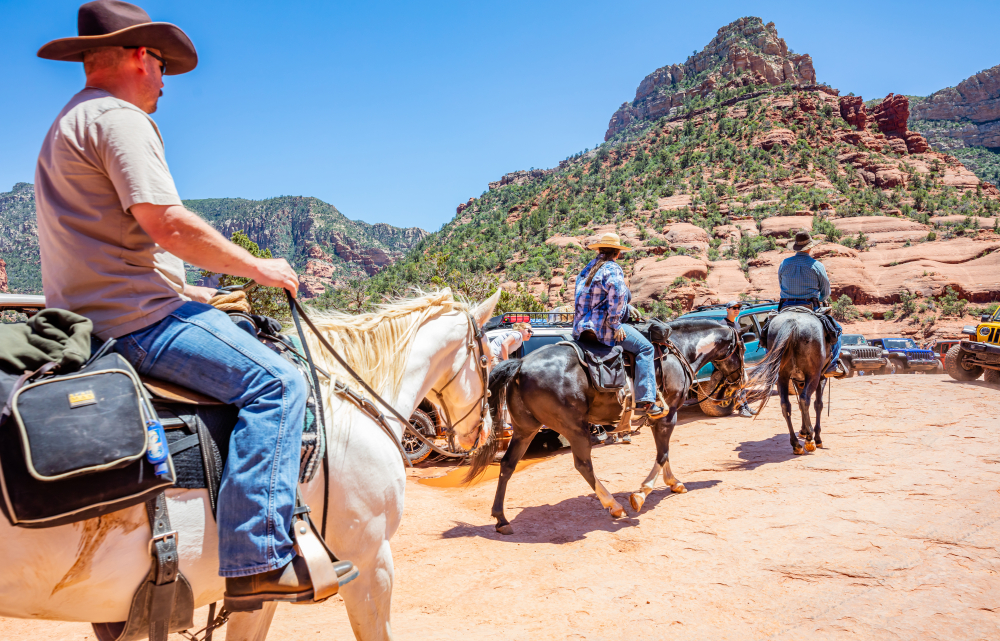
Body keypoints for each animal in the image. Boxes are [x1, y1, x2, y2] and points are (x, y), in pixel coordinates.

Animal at [468, 318, 744, 532]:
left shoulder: (661, 418)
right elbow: (663, 454)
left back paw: (501, 519)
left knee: (507, 465)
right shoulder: (668, 414)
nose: (740, 382)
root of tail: (521, 365)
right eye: (741, 347)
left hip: (526, 429)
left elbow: (664, 454)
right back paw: (614, 505)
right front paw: (641, 494)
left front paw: (674, 483)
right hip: (574, 427)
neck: (677, 353)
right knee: (583, 465)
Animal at [748, 308, 832, 450]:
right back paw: (810, 437)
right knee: (805, 399)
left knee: (785, 404)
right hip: (813, 375)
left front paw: (803, 430)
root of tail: (792, 322)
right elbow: (818, 404)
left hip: (782, 376)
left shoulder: (798, 380)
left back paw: (796, 444)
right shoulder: (821, 377)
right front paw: (816, 437)